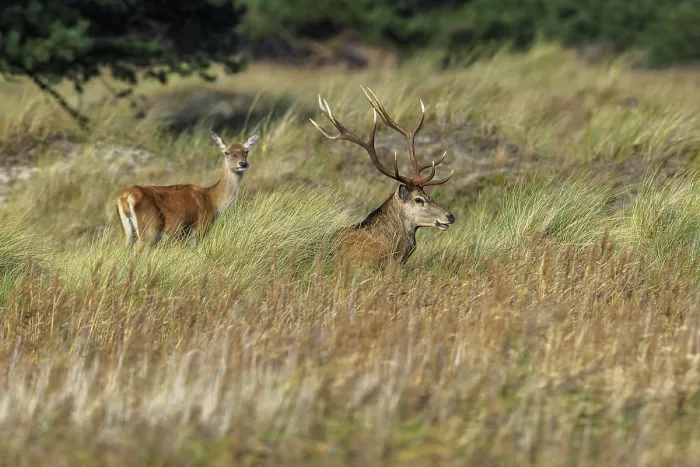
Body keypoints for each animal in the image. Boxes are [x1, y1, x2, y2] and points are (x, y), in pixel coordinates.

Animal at [115, 129, 260, 246]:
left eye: (246, 151)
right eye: (226, 152)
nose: (242, 163)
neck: (213, 202)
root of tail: (125, 197)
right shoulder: (199, 229)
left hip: (127, 233)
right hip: (149, 230)